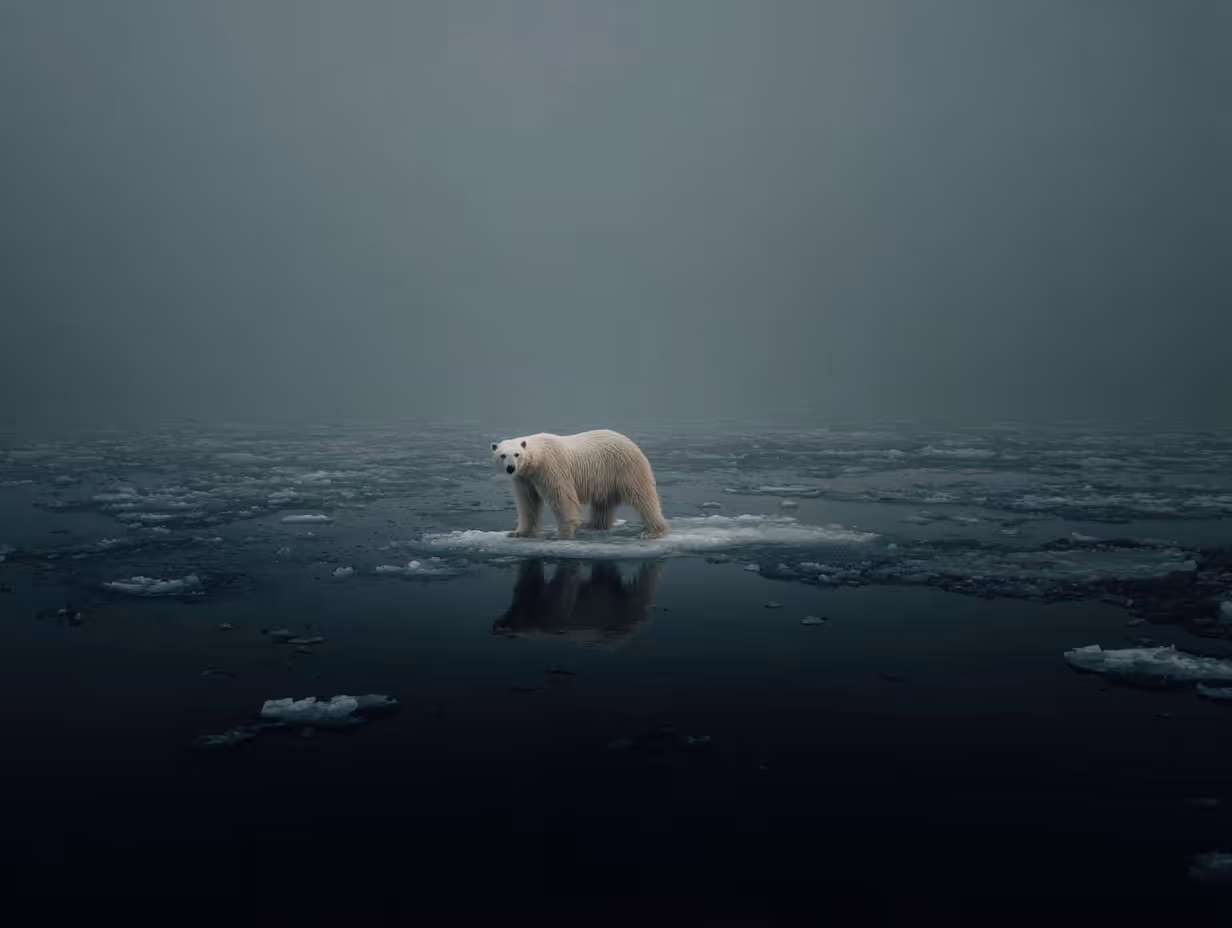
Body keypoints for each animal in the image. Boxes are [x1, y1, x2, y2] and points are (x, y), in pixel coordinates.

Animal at [490, 429, 670, 540]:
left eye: (516, 454)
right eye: (502, 455)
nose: (511, 468)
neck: (538, 458)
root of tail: (631, 442)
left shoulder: (551, 467)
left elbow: (561, 496)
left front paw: (561, 534)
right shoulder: (525, 478)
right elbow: (528, 502)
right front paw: (518, 533)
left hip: (625, 467)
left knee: (643, 496)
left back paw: (653, 532)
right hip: (605, 476)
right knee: (603, 502)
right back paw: (592, 525)